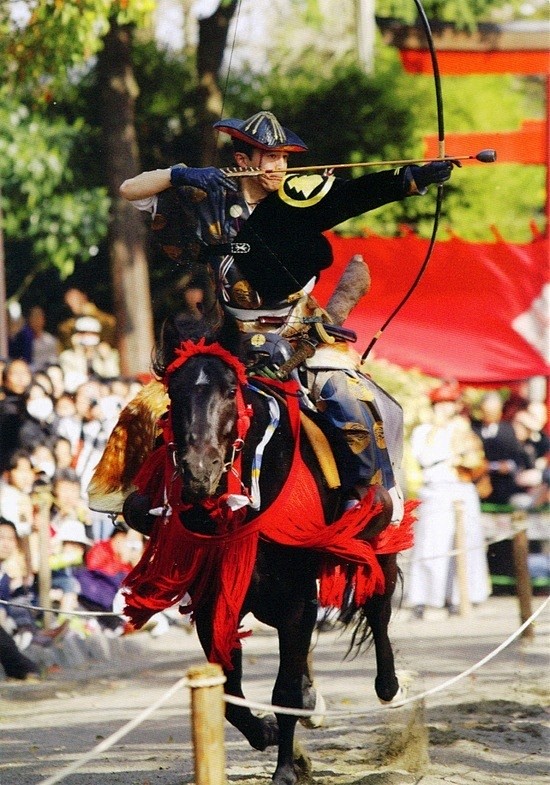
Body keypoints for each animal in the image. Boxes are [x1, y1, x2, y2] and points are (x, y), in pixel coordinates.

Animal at [123, 316, 412, 784]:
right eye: (174, 392)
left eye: (230, 390)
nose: (198, 472)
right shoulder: (215, 601)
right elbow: (230, 691)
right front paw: (269, 734)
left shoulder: (296, 599)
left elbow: (284, 690)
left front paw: (286, 769)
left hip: (380, 537)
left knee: (379, 608)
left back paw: (391, 687)